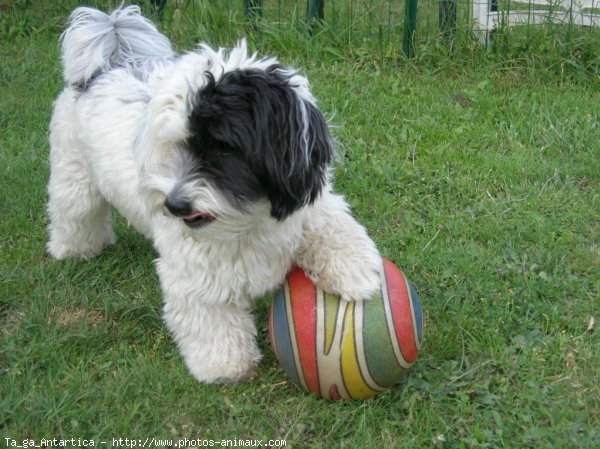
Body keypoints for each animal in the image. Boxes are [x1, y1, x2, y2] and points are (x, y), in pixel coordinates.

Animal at [47, 6, 380, 382]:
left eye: (220, 149)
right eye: (172, 145)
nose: (174, 205)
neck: (248, 219)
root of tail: (103, 69)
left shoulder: (307, 207)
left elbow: (334, 226)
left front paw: (355, 271)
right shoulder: (195, 270)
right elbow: (212, 316)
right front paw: (225, 365)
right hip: (73, 174)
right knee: (75, 212)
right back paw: (73, 250)